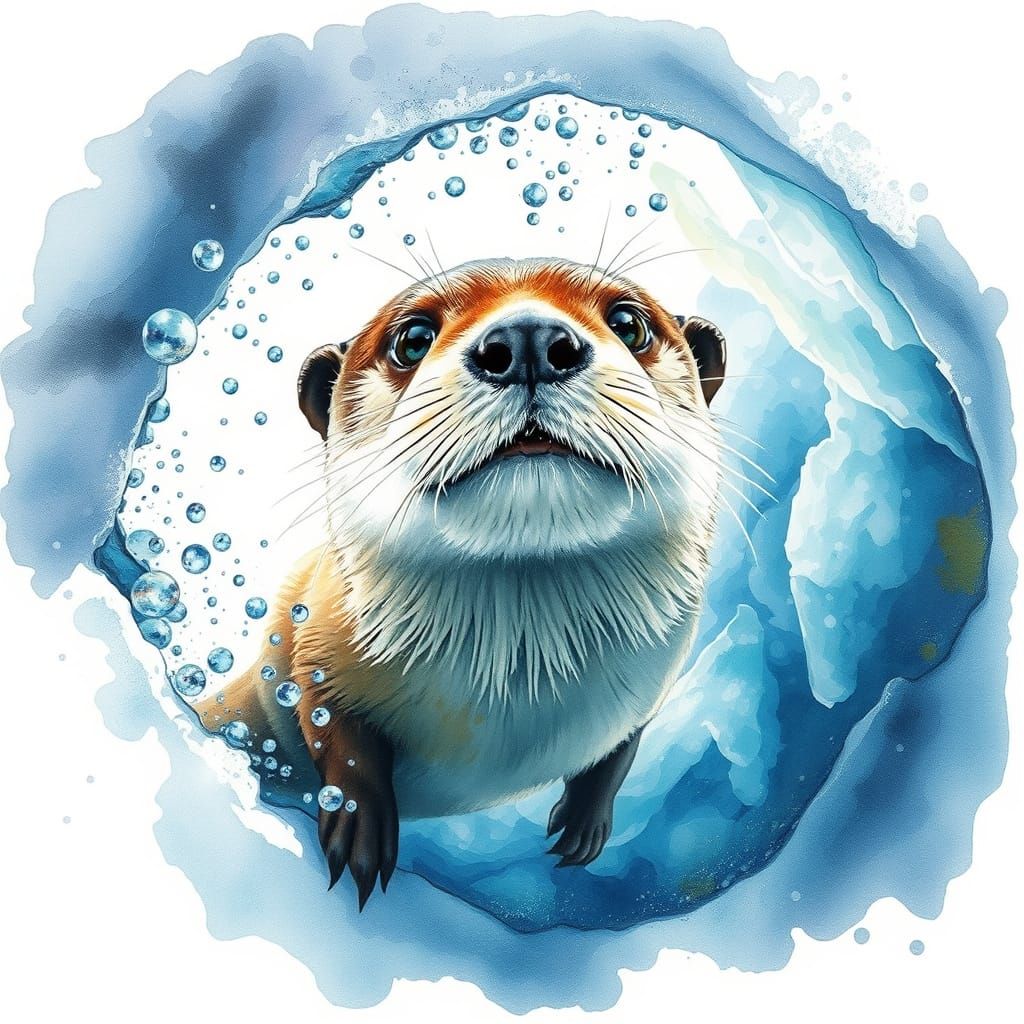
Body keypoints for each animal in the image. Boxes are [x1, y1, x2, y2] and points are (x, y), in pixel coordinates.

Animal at [196, 256, 726, 908]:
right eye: (413, 339)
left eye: (630, 323)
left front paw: (583, 827)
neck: (522, 683)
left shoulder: (654, 684)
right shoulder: (309, 630)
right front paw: (361, 830)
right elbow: (336, 732)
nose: (528, 342)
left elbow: (617, 755)